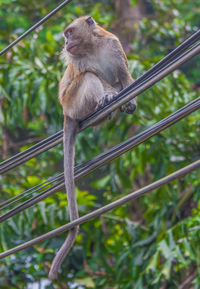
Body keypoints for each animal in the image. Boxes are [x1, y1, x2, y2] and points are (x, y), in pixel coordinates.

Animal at [48, 15, 137, 280]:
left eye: (69, 33)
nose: (66, 42)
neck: (92, 46)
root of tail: (65, 113)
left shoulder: (114, 45)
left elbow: (123, 76)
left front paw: (130, 100)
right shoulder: (78, 61)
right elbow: (95, 75)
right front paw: (109, 95)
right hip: (73, 102)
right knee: (87, 78)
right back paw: (103, 102)